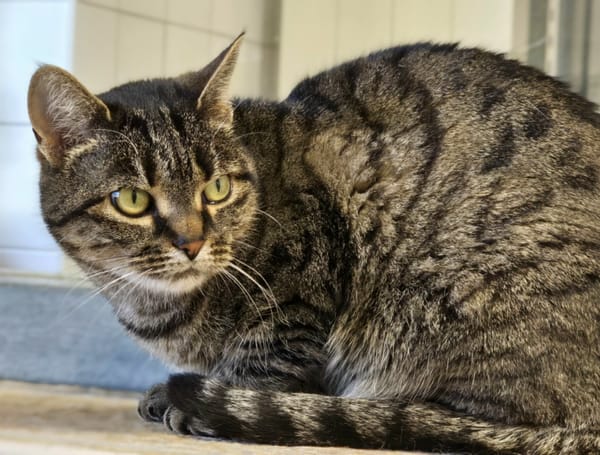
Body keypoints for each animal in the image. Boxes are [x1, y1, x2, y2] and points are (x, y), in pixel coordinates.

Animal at [27, 32, 600, 453]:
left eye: (216, 188)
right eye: (131, 200)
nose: (192, 242)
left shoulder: (300, 291)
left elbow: (261, 369)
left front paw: (202, 401)